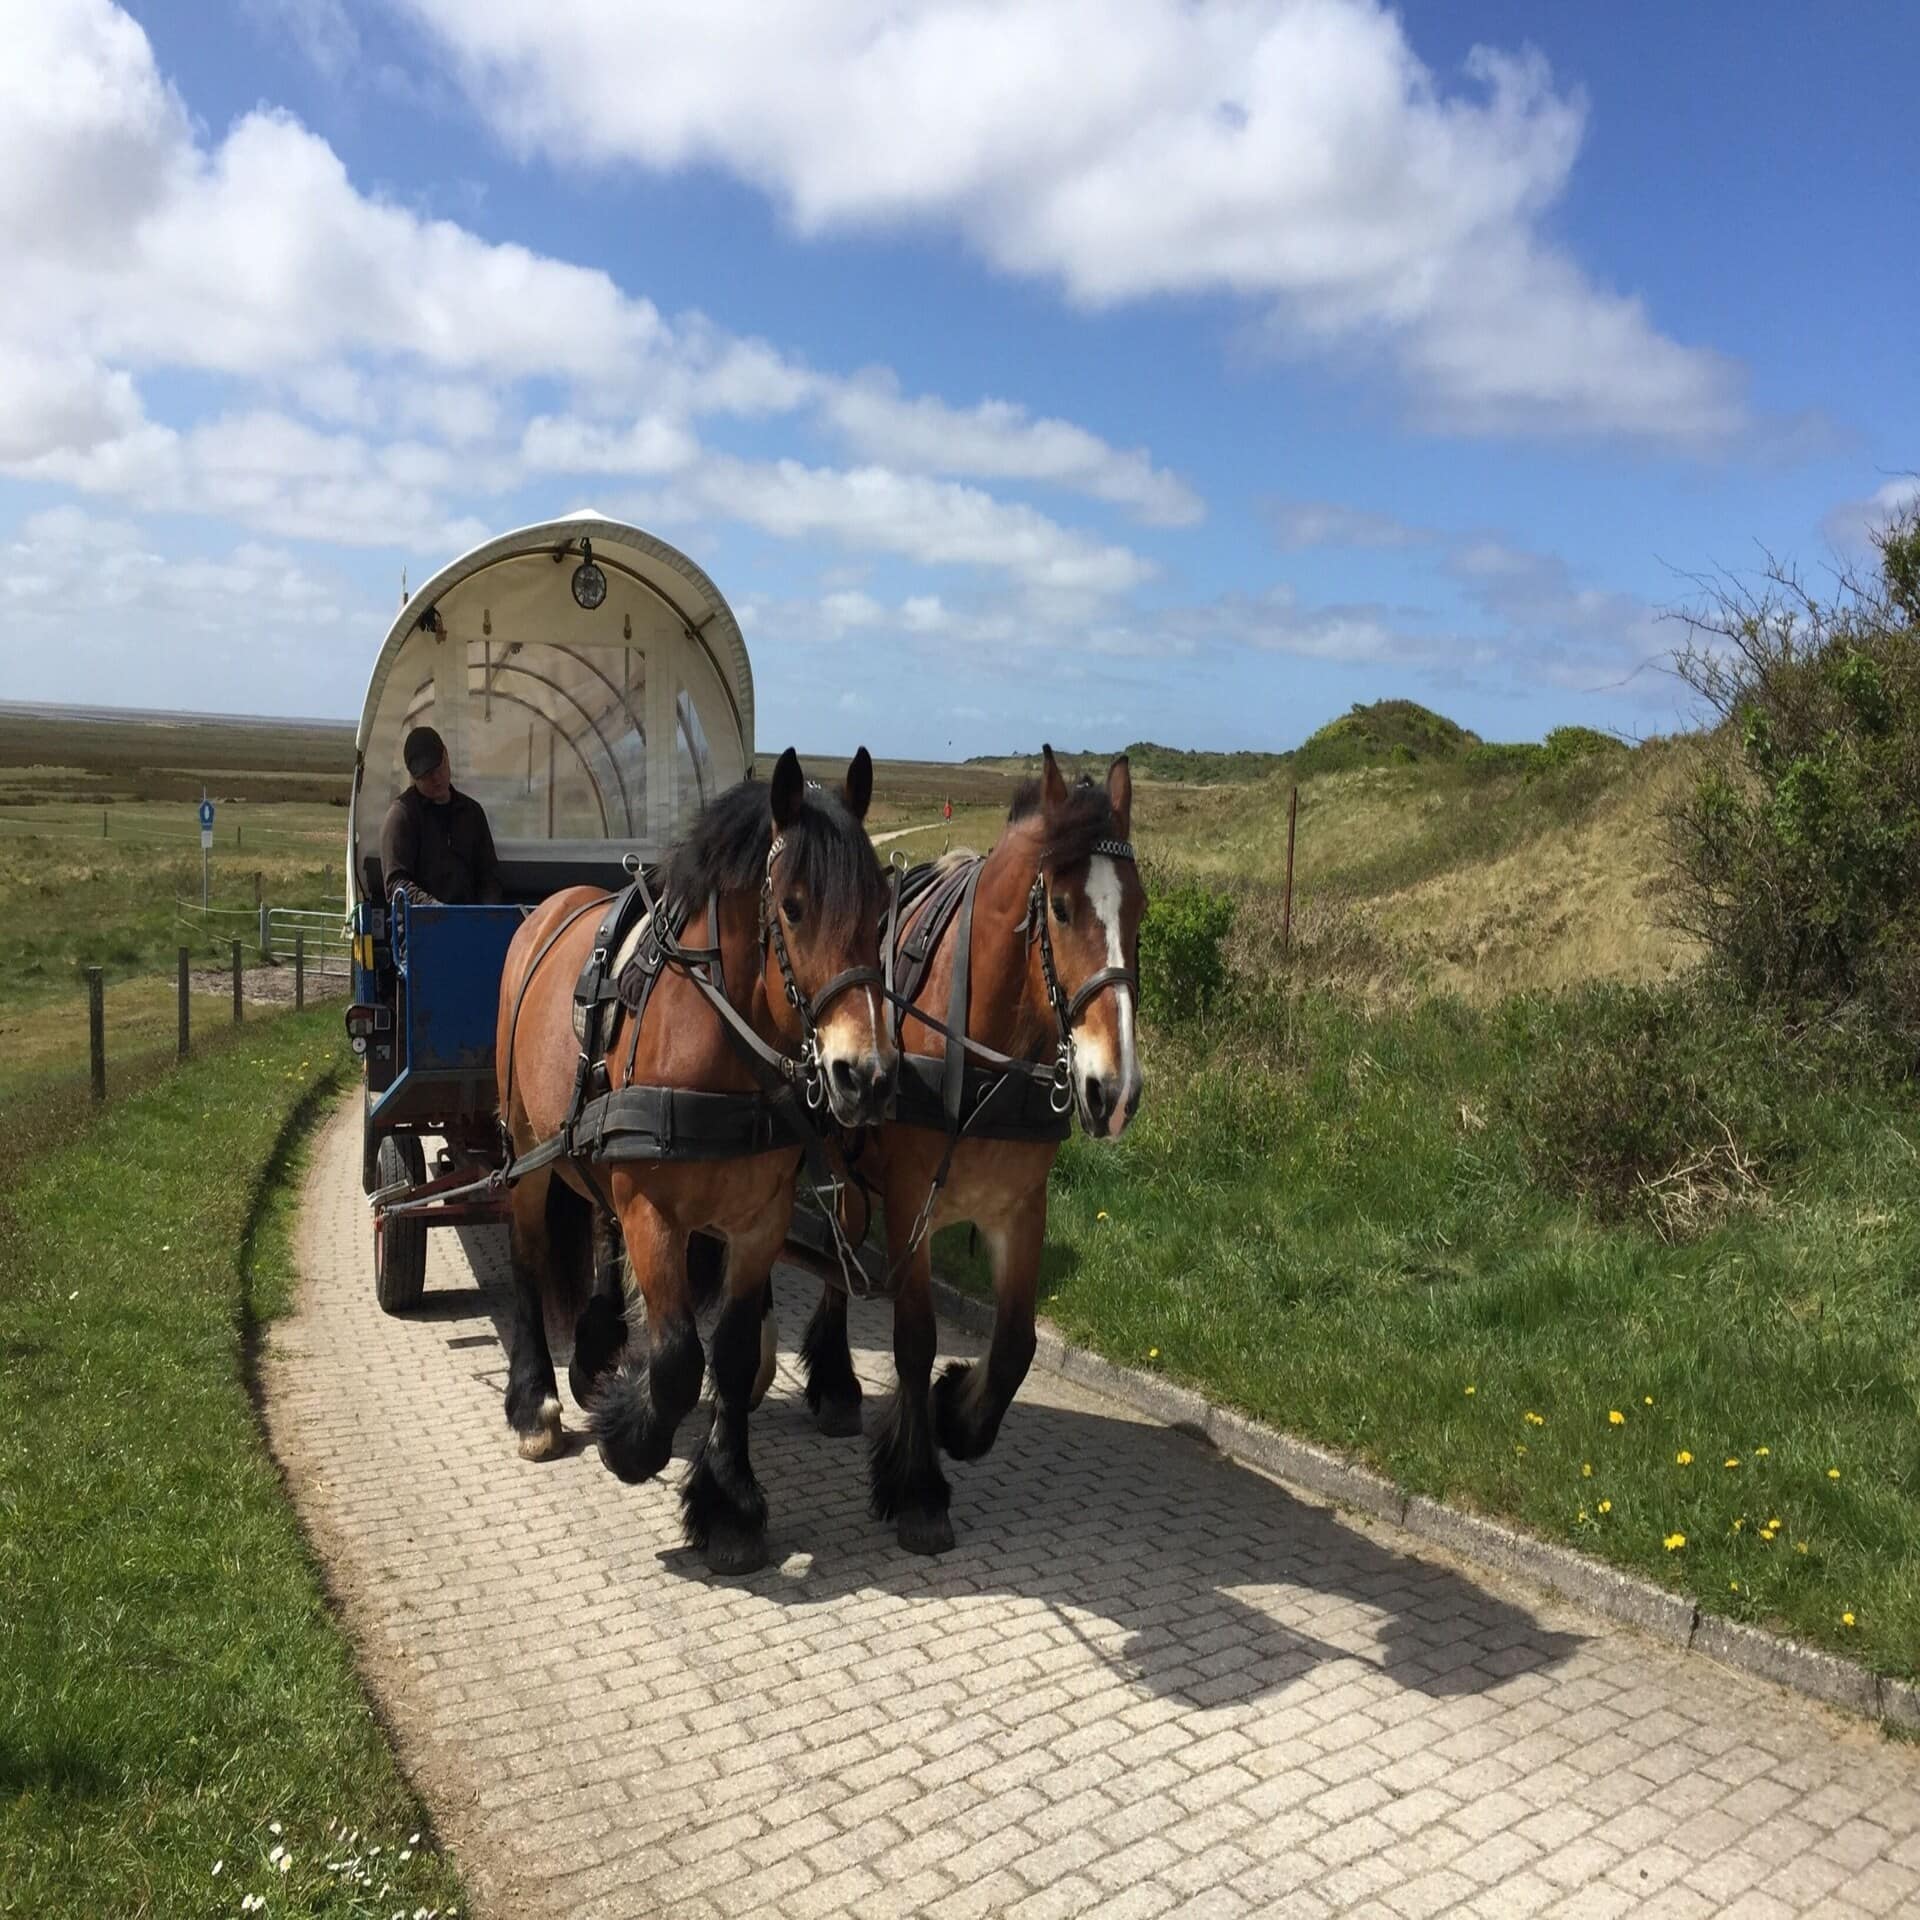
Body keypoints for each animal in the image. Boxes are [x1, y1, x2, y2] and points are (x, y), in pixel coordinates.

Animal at [491, 748, 887, 1574]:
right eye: (793, 906)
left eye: (881, 908)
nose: (861, 1076)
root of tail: (546, 909)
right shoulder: (656, 1213)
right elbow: (677, 1358)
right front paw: (634, 1443)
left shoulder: (758, 1221)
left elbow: (730, 1355)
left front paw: (728, 1504)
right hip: (526, 1150)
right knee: (528, 1258)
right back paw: (535, 1401)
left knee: (598, 1234)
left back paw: (596, 1355)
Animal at [802, 741, 1144, 1551]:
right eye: (1061, 908)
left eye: (1140, 910)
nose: (1113, 1092)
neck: (983, 1054)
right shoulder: (909, 1205)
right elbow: (914, 1337)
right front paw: (920, 1487)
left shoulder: (1020, 1208)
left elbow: (1016, 1341)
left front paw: (958, 1413)